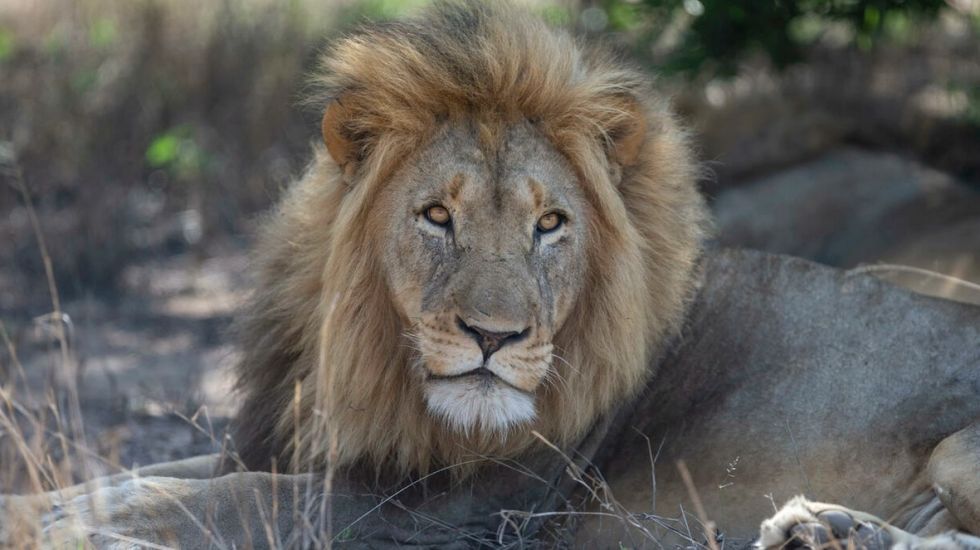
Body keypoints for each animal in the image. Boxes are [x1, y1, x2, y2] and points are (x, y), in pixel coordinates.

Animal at [1, 2, 978, 548]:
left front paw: (69, 528)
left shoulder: (458, 513)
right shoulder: (292, 441)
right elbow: (155, 476)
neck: (368, 361)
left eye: (551, 225)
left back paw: (825, 530)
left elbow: (238, 501)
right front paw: (46, 508)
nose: (493, 338)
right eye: (439, 216)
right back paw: (826, 530)